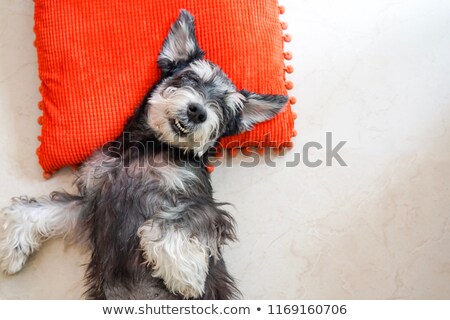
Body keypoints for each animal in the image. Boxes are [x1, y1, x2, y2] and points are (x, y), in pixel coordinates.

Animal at [0, 10, 288, 300]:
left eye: (225, 108)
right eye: (191, 77)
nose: (198, 111)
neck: (145, 147)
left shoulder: (201, 204)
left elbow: (166, 223)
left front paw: (184, 275)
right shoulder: (90, 204)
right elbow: (36, 210)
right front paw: (12, 250)